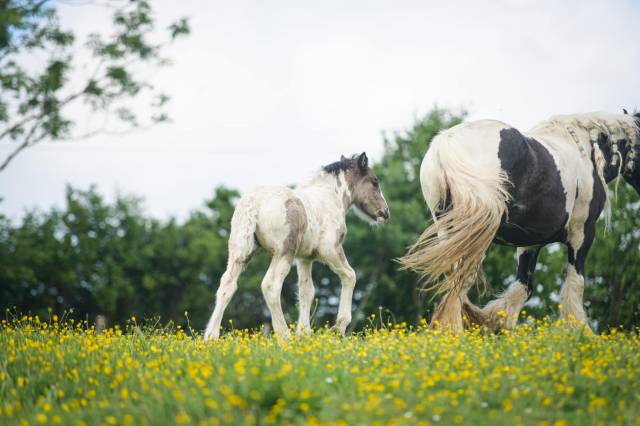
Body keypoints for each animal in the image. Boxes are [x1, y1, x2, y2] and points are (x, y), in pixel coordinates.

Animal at [204, 151, 390, 342]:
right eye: (375, 182)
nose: (385, 212)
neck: (330, 198)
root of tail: (254, 204)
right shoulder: (330, 249)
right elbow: (350, 275)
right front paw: (338, 328)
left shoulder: (304, 258)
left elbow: (306, 291)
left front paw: (304, 333)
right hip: (283, 252)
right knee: (271, 286)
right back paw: (284, 336)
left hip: (240, 252)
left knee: (227, 284)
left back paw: (210, 337)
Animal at [400, 110, 640, 330]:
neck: (587, 149)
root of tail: (445, 146)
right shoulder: (582, 233)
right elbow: (575, 284)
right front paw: (579, 334)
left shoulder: (530, 243)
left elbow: (523, 287)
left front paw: (499, 324)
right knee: (461, 280)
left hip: (450, 231)